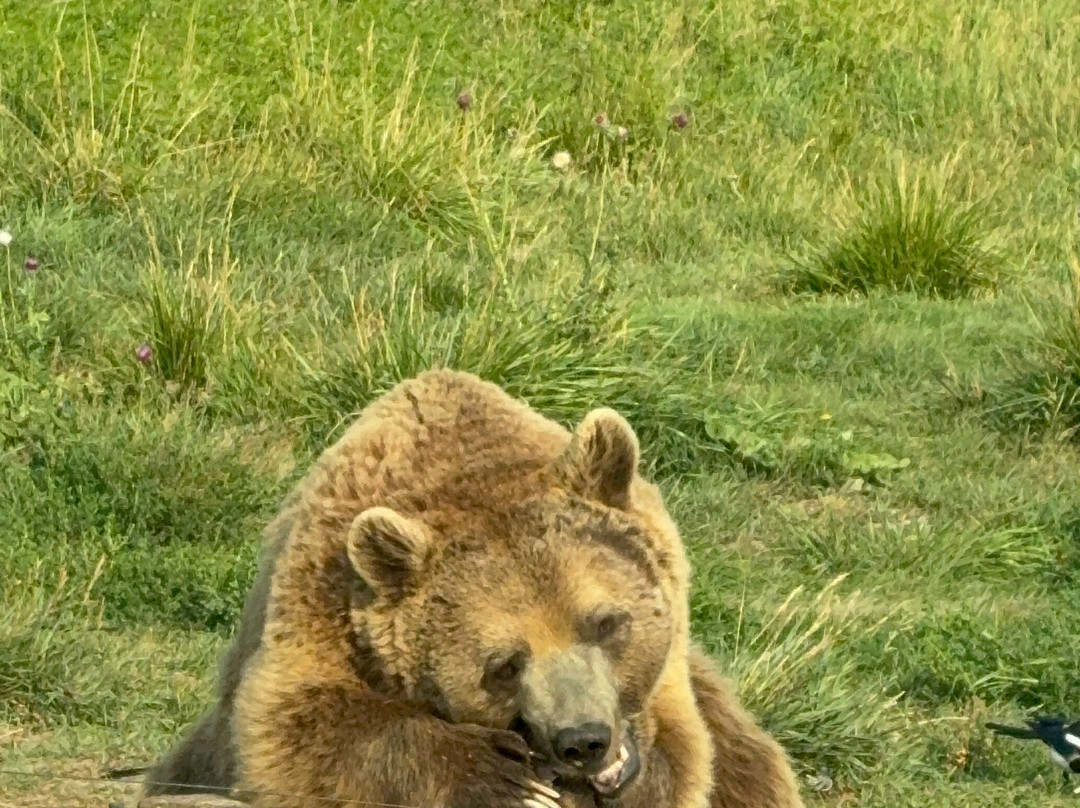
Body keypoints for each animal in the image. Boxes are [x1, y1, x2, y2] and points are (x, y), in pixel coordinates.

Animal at [142, 369, 803, 808]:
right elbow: (293, 729)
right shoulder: (324, 612)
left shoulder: (675, 680)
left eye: (607, 622)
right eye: (504, 664)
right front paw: (500, 776)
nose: (583, 740)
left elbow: (694, 756)